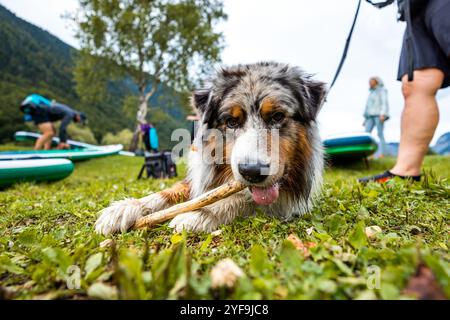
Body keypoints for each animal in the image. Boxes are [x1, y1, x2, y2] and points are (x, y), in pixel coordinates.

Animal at [96, 62, 326, 235]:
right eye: (231, 122)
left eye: (277, 117)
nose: (252, 172)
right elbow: (167, 192)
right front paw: (125, 208)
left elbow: (239, 200)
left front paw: (199, 213)